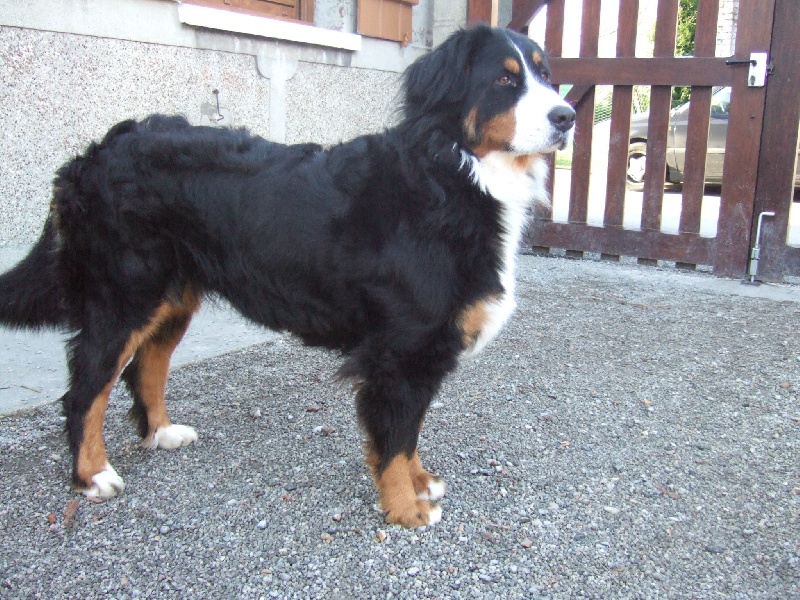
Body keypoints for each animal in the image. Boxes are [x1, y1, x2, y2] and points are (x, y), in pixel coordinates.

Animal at [0, 25, 574, 528]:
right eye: (504, 81)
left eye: (547, 75)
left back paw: (161, 433)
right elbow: (394, 437)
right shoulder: (401, 351)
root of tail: (96, 152)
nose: (567, 115)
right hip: (122, 296)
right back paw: (93, 475)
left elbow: (409, 431)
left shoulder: (418, 351)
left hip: (171, 297)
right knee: (85, 390)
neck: (452, 174)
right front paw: (405, 509)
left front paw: (420, 482)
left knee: (147, 367)